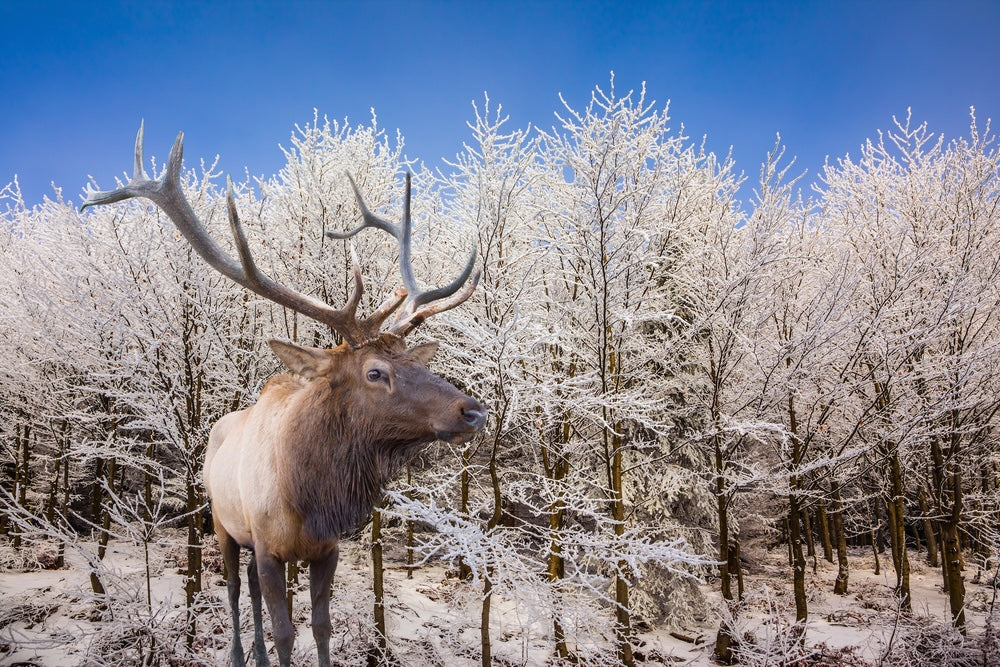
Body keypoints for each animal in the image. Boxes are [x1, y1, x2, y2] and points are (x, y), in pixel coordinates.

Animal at [84, 124, 490, 664]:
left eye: (415, 363)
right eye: (375, 372)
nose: (472, 410)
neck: (307, 497)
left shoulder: (327, 549)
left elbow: (320, 626)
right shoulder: (265, 543)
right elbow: (284, 631)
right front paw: (268, 645)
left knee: (251, 589)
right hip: (222, 523)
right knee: (236, 588)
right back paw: (241, 652)